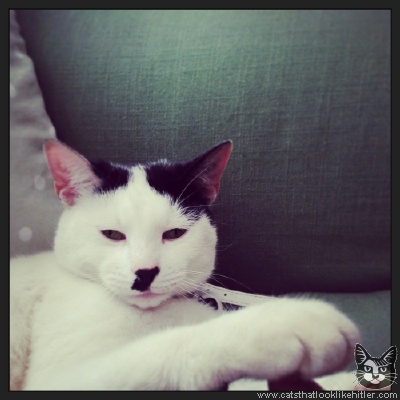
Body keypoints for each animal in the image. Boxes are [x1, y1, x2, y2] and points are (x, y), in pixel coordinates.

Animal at [10, 139, 361, 390]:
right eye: (112, 235)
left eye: (174, 234)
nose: (145, 273)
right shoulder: (60, 378)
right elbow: (159, 349)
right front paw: (278, 324)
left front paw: (348, 381)